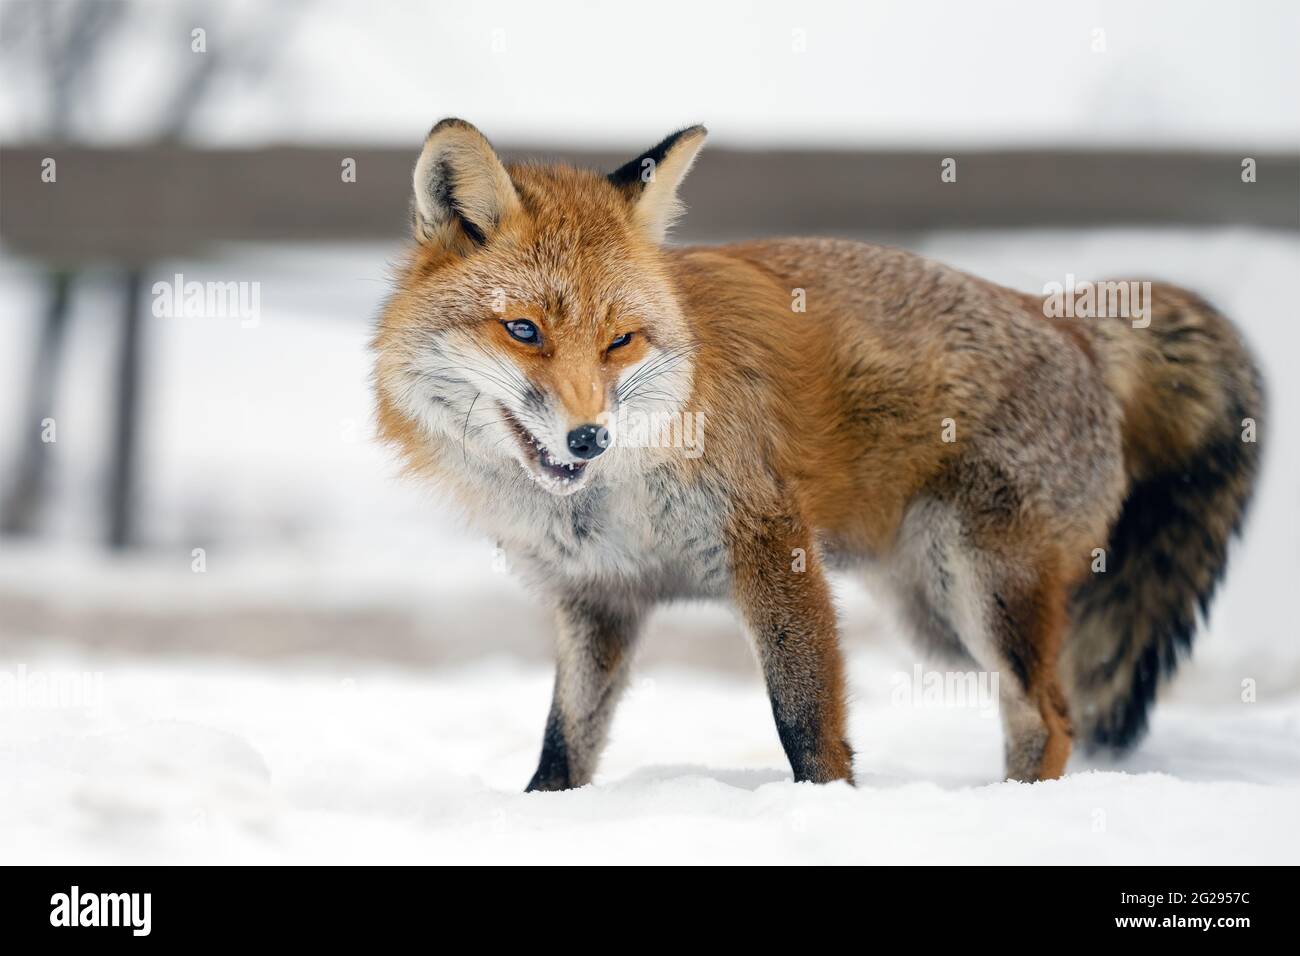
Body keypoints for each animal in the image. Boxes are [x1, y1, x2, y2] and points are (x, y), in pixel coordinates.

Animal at [373, 119, 1263, 789]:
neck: (616, 494)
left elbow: (805, 720)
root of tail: (1068, 321)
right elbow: (565, 743)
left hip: (983, 593)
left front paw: (826, 807)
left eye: (620, 341)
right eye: (523, 330)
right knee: (1054, 705)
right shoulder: (598, 598)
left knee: (1049, 716)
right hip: (937, 616)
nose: (589, 436)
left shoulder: (774, 547)